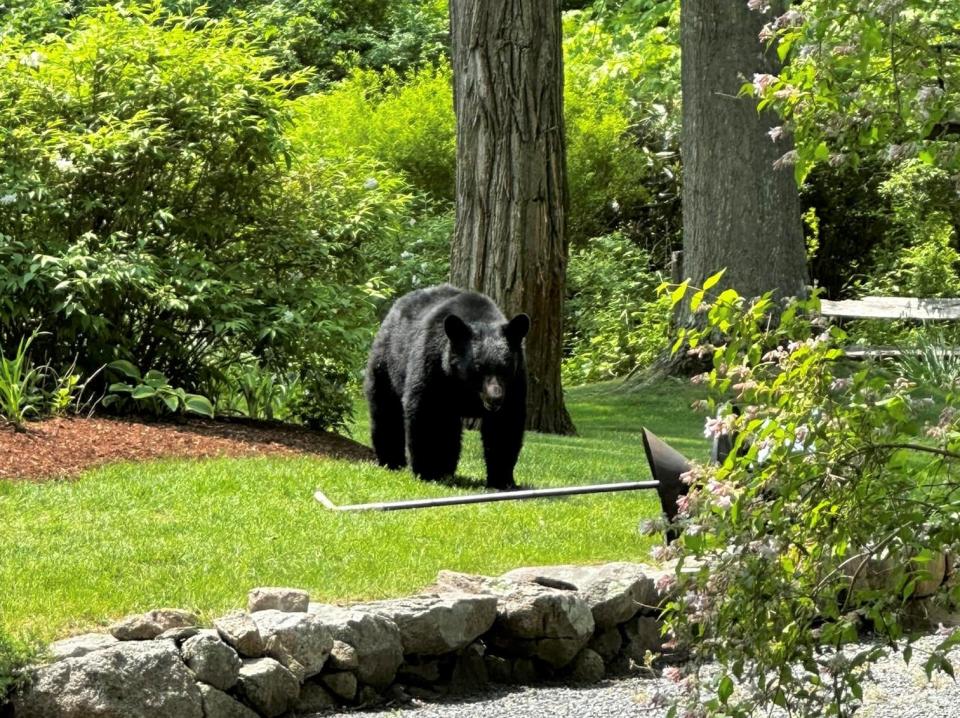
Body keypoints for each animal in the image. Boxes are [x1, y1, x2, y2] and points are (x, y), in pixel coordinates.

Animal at [364, 284, 528, 492]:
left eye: (505, 368)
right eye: (478, 368)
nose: (495, 398)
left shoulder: (516, 382)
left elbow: (506, 425)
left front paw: (503, 481)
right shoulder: (433, 366)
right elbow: (425, 413)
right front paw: (426, 471)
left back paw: (447, 469)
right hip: (386, 365)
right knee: (386, 411)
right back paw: (392, 462)